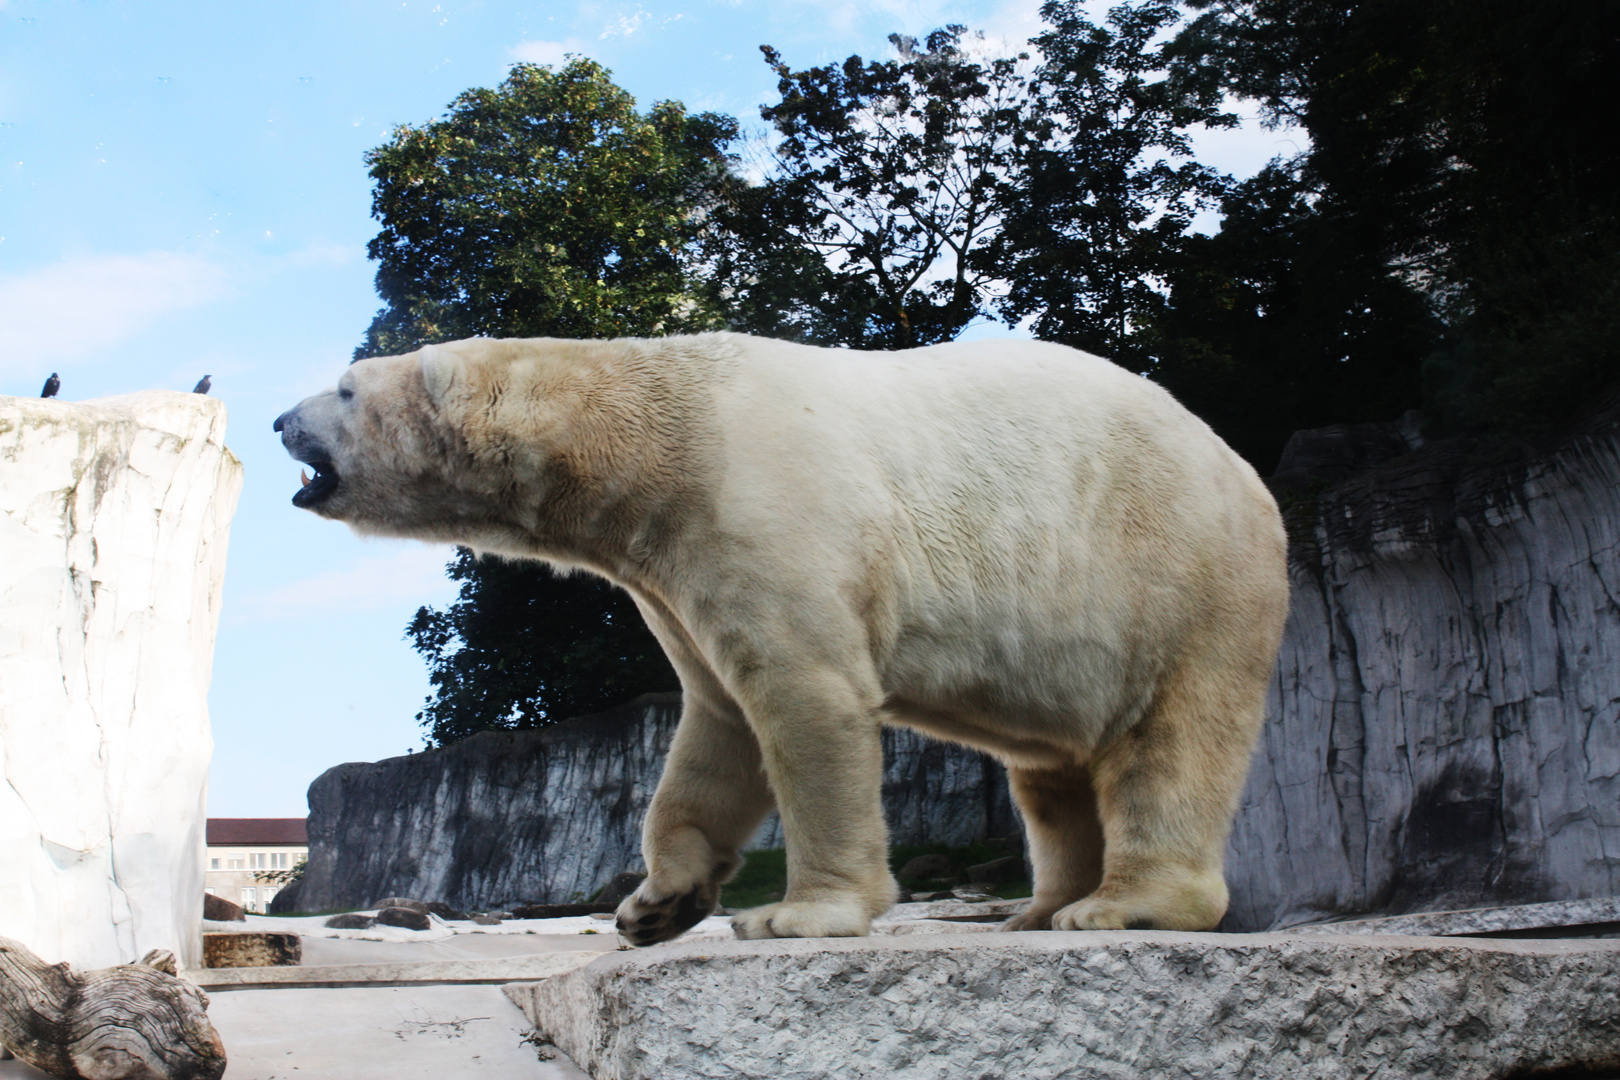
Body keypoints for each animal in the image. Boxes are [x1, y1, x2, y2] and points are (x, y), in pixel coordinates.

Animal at [278, 333, 1289, 939]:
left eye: (345, 386)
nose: (282, 418)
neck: (656, 439)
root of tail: (1244, 471)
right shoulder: (675, 571)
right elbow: (715, 725)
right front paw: (656, 904)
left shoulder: (758, 503)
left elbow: (806, 701)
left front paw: (799, 916)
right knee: (1050, 771)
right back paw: (1040, 908)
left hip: (1175, 576)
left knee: (1171, 738)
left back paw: (1124, 905)